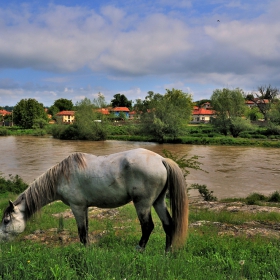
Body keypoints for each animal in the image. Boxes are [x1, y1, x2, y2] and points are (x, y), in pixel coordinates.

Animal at [0, 149, 188, 252]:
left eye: (6, 221)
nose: (1, 240)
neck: (62, 176)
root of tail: (161, 160)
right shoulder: (84, 208)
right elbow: (87, 230)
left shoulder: (77, 207)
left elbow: (82, 233)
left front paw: (85, 251)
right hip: (158, 201)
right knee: (168, 225)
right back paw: (167, 253)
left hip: (142, 203)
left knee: (148, 227)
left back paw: (139, 249)